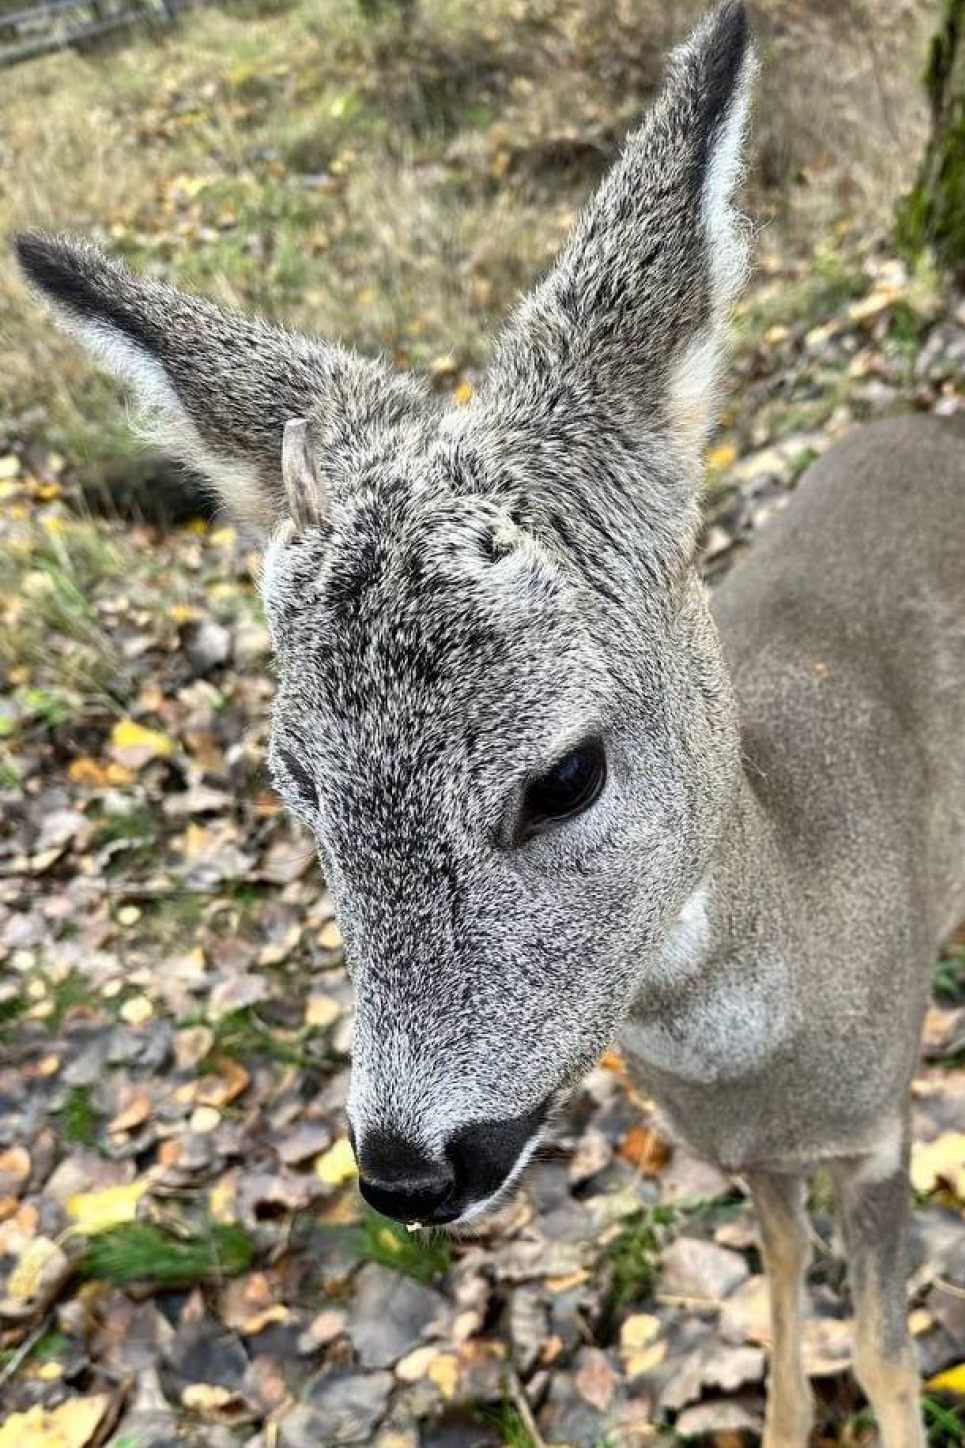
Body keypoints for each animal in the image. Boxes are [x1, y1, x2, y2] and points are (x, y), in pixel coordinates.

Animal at [15, 5, 956, 1442]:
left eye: (565, 773)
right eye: (297, 782)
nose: (407, 1171)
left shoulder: (880, 1135)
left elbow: (892, 1352)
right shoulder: (747, 1160)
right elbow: (787, 1290)